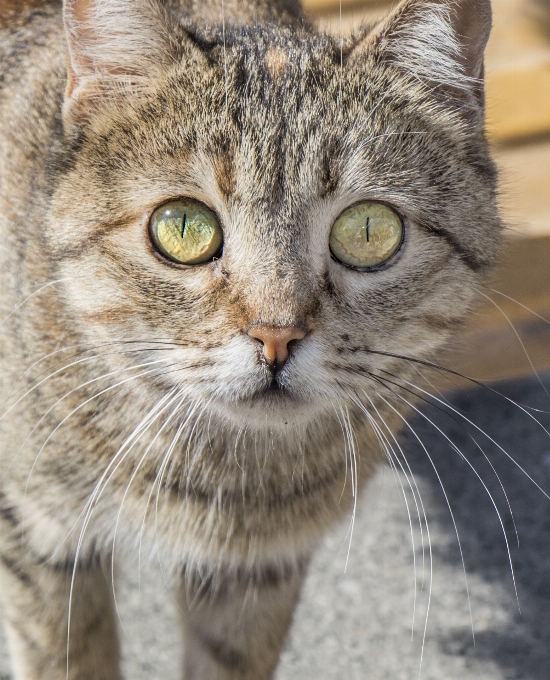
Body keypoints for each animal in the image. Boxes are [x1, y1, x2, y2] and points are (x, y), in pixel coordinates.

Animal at [0, 0, 502, 676]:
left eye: (370, 230)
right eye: (183, 227)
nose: (276, 336)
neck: (227, 479)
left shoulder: (256, 572)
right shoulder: (36, 534)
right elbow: (71, 655)